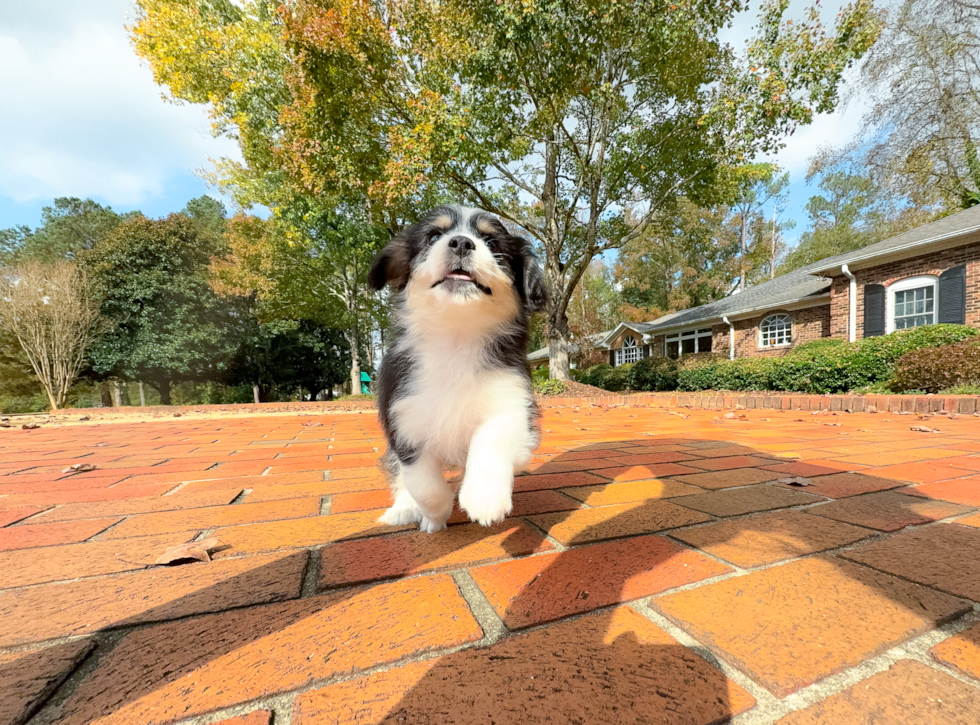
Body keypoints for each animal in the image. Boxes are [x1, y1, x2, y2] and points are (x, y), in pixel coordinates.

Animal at [370, 204, 552, 532]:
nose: (461, 243)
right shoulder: (403, 419)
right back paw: (402, 509)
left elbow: (490, 436)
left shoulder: (514, 404)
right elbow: (422, 483)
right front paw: (434, 516)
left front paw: (484, 495)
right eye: (433, 237)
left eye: (491, 242)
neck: (456, 335)